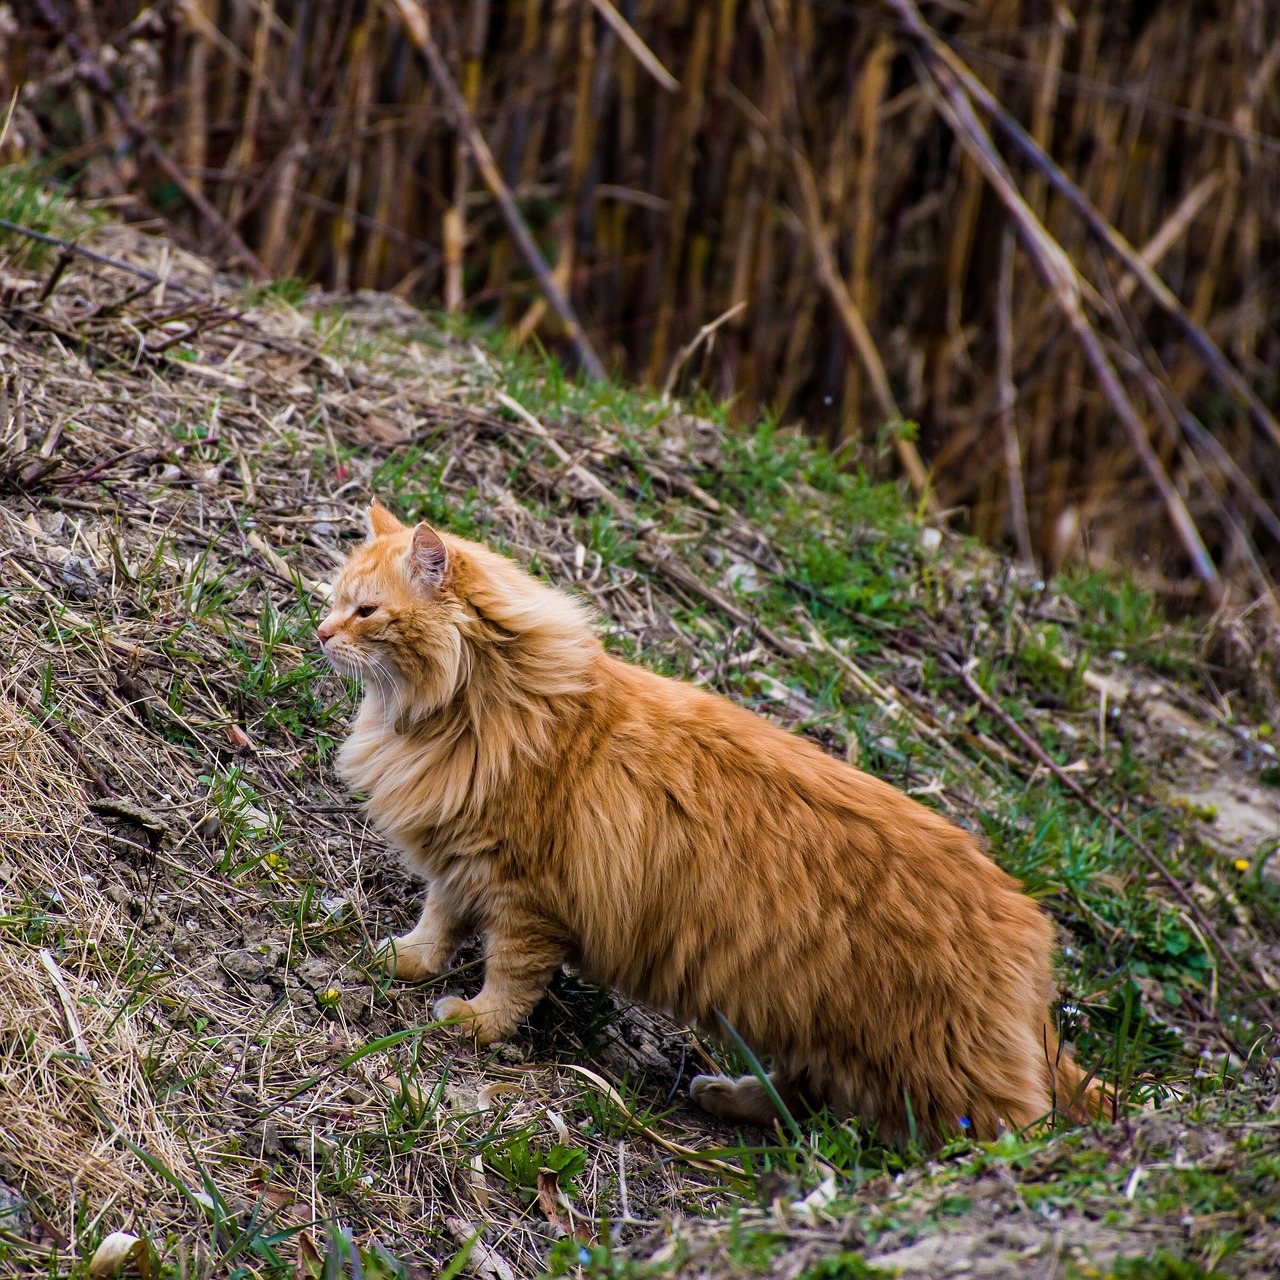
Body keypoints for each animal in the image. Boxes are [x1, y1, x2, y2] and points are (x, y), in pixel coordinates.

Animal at [320, 496, 1111, 1141]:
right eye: (335, 600)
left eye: (367, 611)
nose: (322, 632)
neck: (489, 706)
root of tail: (1027, 918)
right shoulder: (461, 859)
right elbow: (439, 921)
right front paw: (407, 960)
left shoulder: (526, 895)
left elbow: (510, 980)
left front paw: (474, 1023)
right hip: (805, 1022)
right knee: (801, 1095)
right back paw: (723, 1097)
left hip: (937, 1068)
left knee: (1011, 1129)